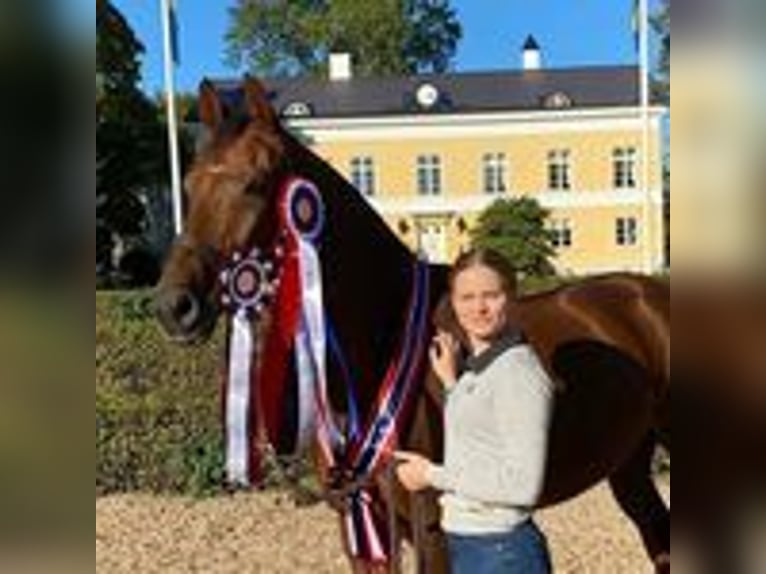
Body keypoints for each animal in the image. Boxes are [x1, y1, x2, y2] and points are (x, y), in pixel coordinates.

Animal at [156, 79, 672, 572]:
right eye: (189, 185)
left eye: (257, 183)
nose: (173, 306)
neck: (380, 345)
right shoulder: (359, 523)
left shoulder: (435, 530)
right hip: (629, 464)